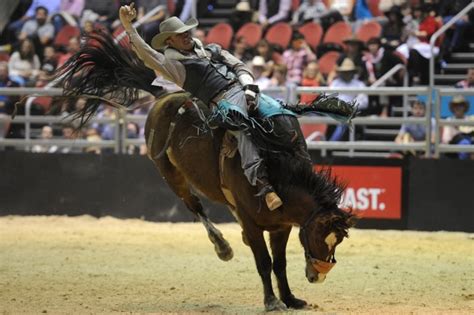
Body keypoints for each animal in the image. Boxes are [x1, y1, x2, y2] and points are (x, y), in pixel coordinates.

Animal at [50, 32, 358, 312]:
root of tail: (163, 96)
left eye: (338, 240)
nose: (317, 276)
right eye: (320, 236)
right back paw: (223, 246)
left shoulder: (281, 225)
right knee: (195, 206)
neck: (276, 172)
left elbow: (279, 263)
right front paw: (272, 301)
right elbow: (264, 261)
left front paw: (291, 299)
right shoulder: (253, 221)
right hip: (171, 174)